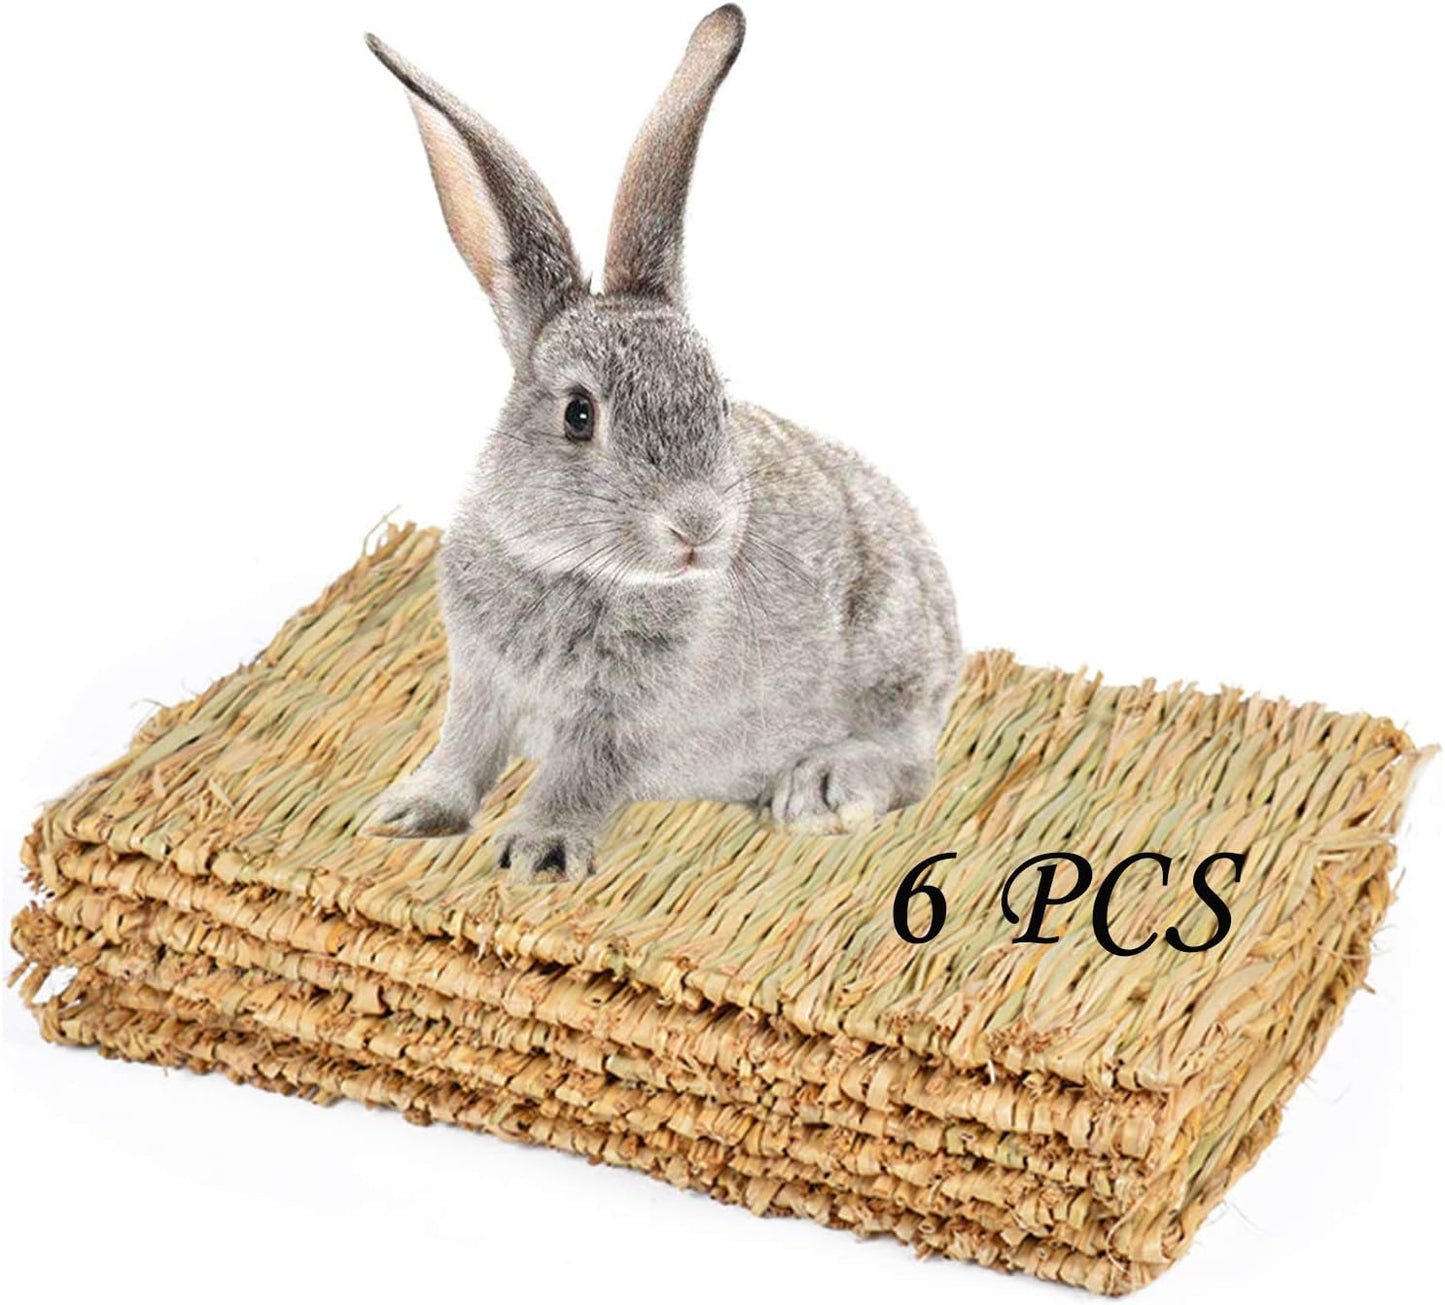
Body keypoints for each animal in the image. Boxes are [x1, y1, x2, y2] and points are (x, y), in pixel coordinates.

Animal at [367, 5, 961, 880]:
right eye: (579, 414)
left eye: (715, 397)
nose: (699, 526)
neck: (575, 567)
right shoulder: (479, 679)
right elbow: (463, 748)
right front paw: (410, 811)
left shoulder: (623, 719)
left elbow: (578, 773)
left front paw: (539, 851)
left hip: (889, 655)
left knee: (912, 759)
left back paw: (822, 789)